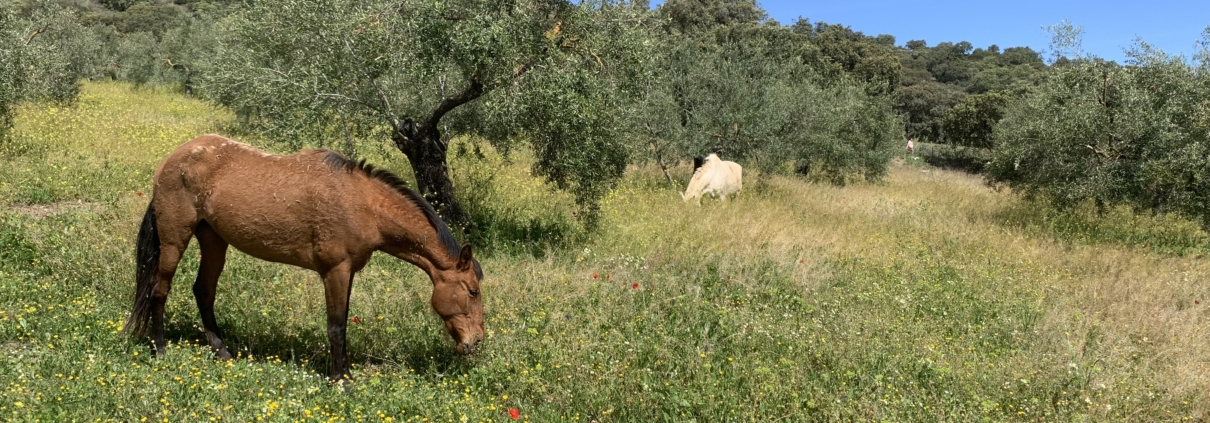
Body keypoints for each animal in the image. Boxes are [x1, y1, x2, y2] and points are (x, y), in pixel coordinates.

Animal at [123, 134, 484, 382]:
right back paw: (160, 348)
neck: (364, 205)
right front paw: (341, 380)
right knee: (159, 289)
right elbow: (336, 326)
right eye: (472, 291)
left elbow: (342, 323)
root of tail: (174, 158)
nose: (476, 342)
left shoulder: (348, 272)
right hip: (175, 238)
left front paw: (344, 372)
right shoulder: (335, 271)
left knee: (203, 291)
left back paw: (222, 351)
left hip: (213, 240)